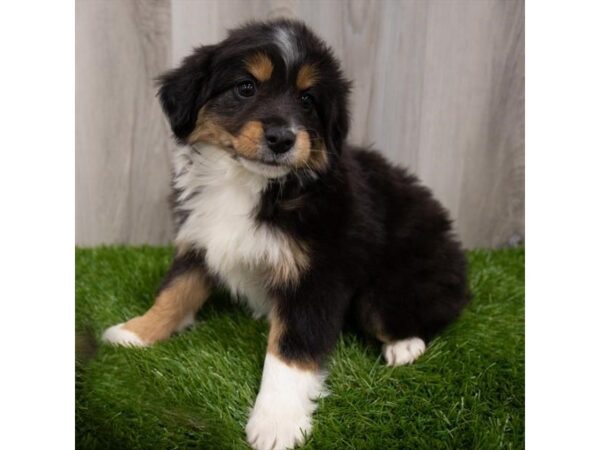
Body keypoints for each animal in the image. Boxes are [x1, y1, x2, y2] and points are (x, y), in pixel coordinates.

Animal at [102, 18, 468, 450]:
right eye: (246, 87)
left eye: (308, 100)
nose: (282, 138)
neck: (248, 184)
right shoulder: (200, 239)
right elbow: (175, 292)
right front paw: (135, 332)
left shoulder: (317, 275)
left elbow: (290, 351)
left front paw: (276, 423)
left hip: (389, 290)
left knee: (428, 311)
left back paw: (405, 345)